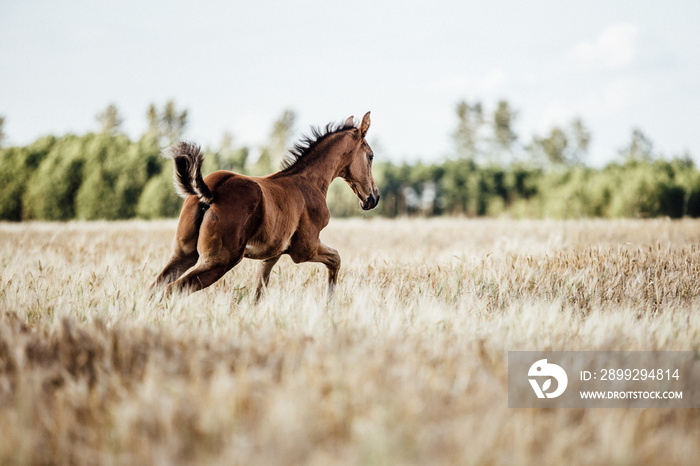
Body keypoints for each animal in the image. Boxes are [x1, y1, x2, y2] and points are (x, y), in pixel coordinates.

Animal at [151, 114, 380, 302]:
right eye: (370, 156)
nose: (373, 198)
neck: (309, 182)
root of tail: (210, 191)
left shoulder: (272, 255)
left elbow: (258, 293)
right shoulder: (305, 248)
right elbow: (336, 260)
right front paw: (329, 304)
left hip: (183, 254)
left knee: (155, 288)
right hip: (219, 261)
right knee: (172, 289)